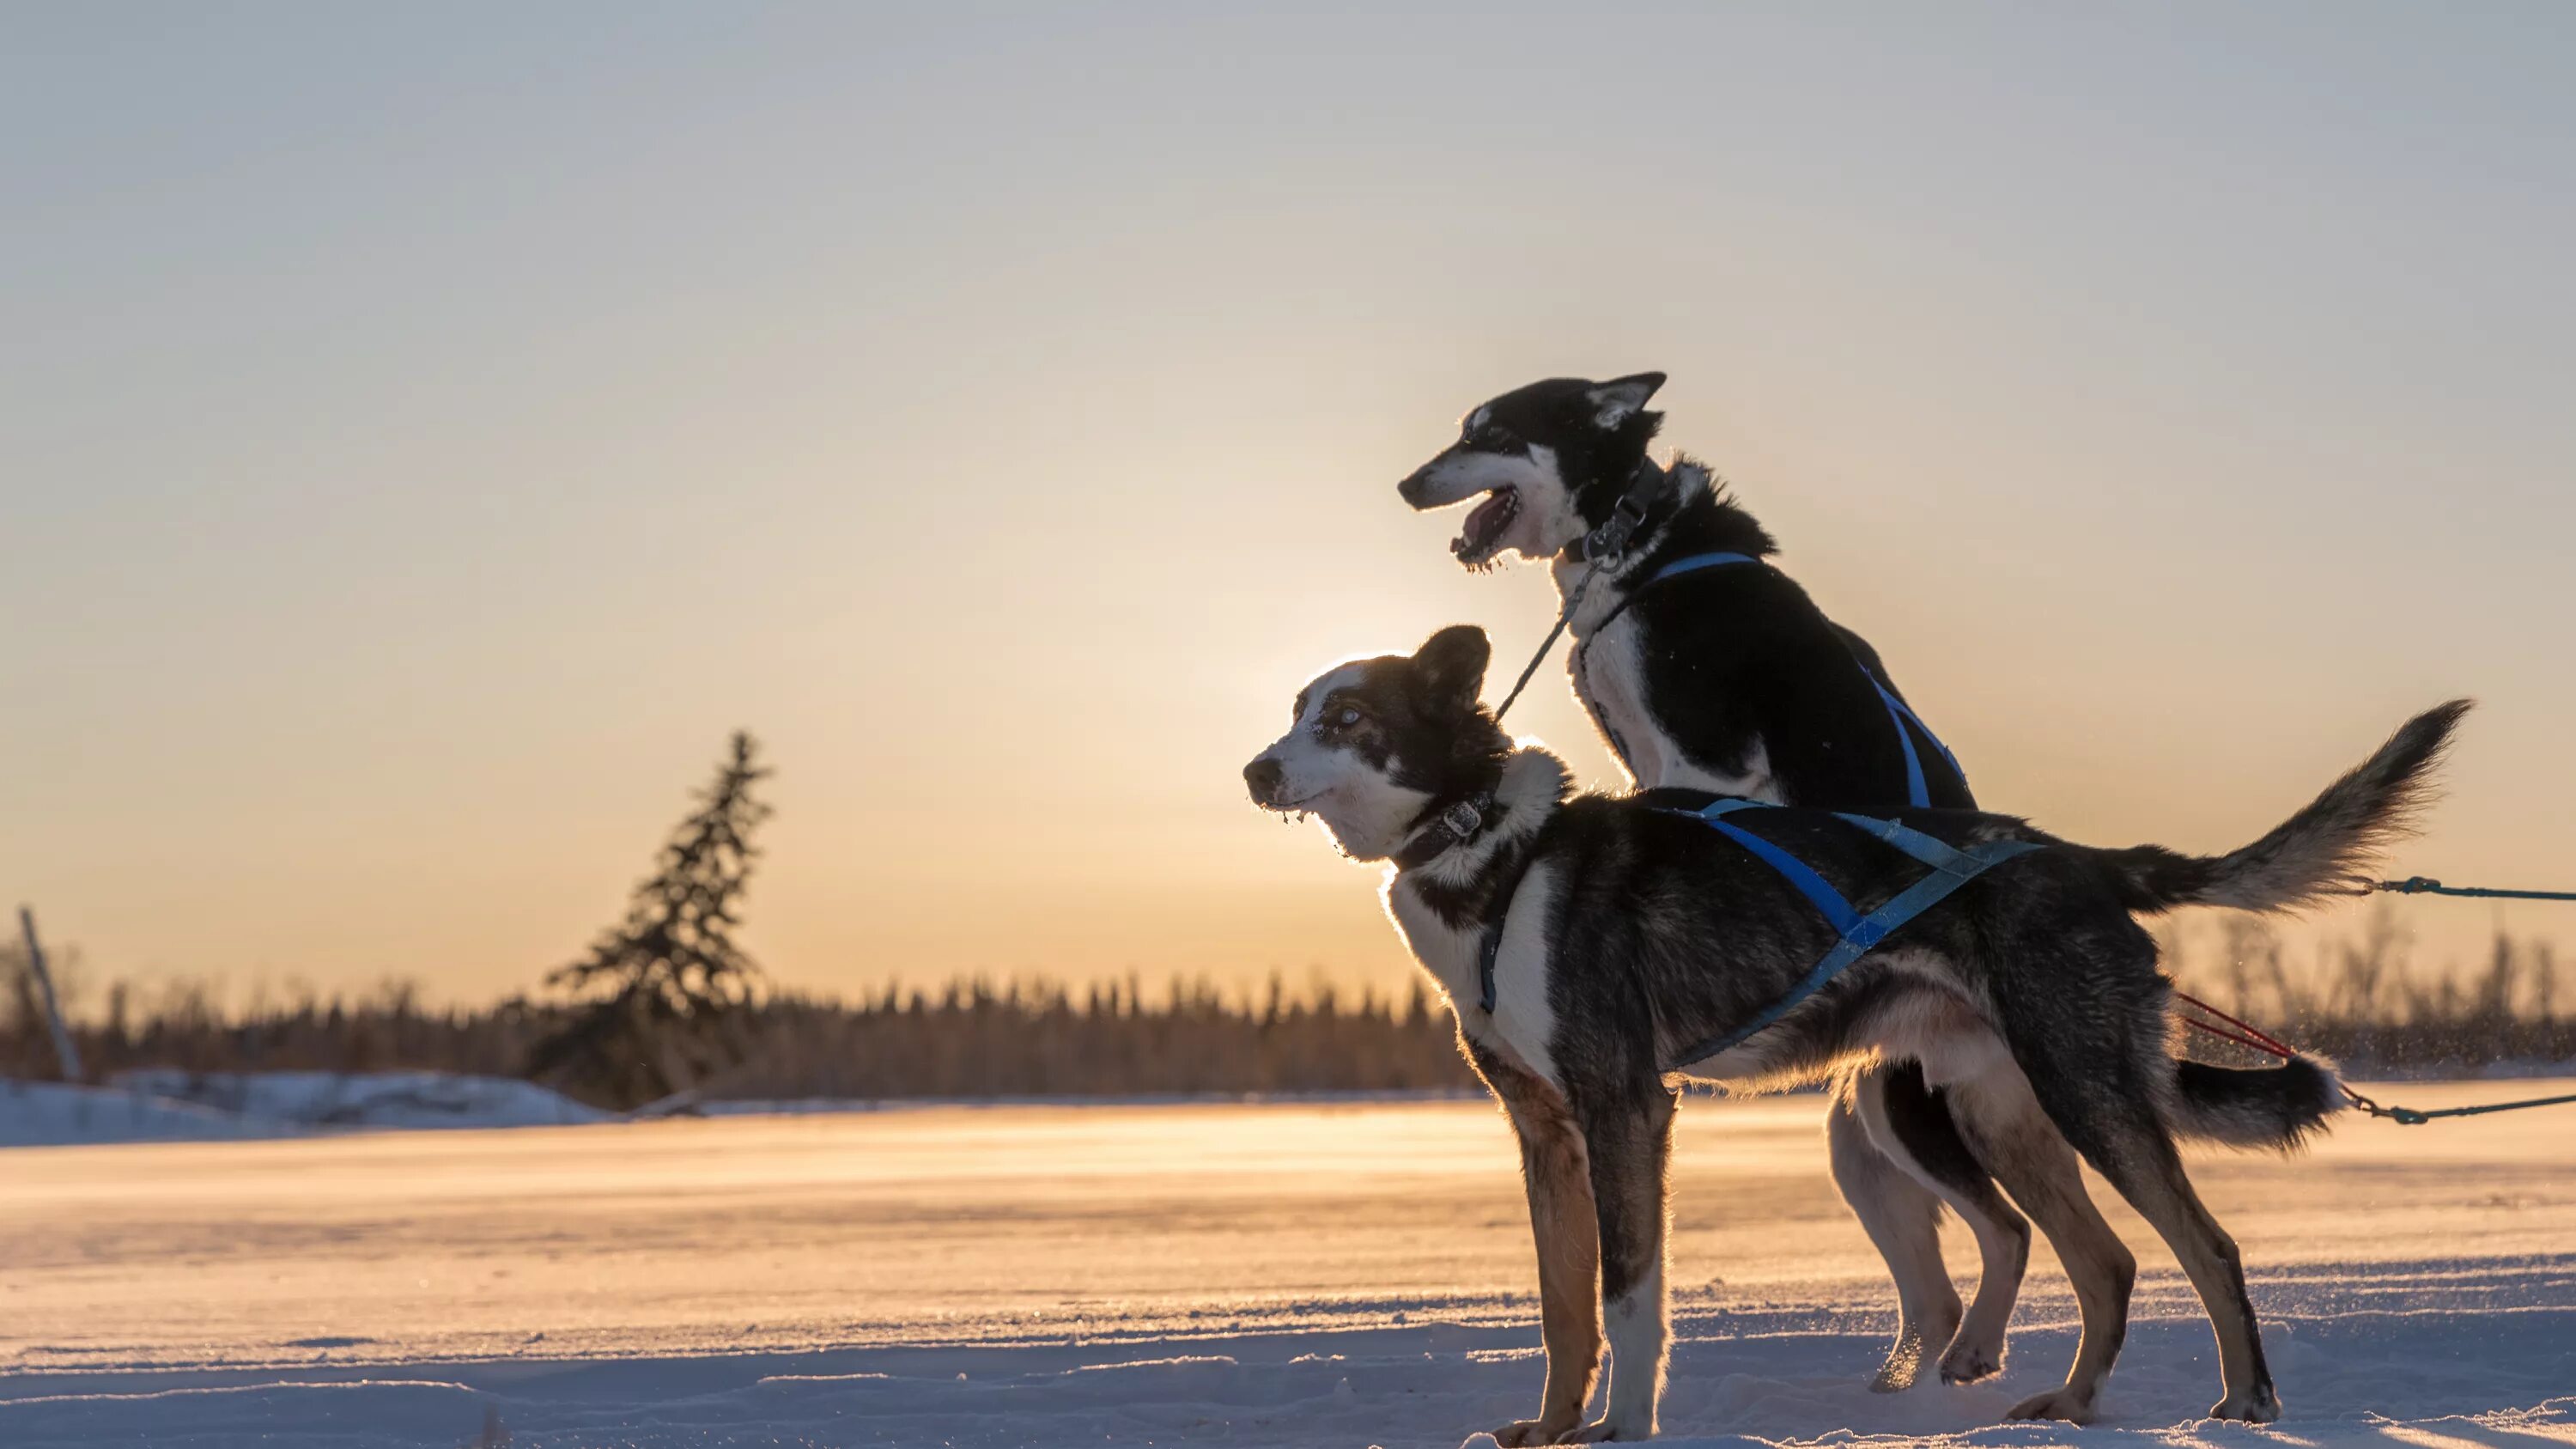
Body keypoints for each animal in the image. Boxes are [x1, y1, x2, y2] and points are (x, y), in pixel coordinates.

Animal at [1247, 618, 2473, 1433]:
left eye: (1347, 718)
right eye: (1297, 707)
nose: (1257, 766)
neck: (1493, 855)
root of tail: (2078, 856)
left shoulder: (1624, 1109)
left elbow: (1629, 1298)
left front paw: (1622, 1431)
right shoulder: (1544, 1135)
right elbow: (1563, 1311)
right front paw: (1551, 1431)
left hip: (2082, 1092)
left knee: (2203, 1245)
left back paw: (2245, 1400)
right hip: (1997, 1115)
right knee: (2108, 1260)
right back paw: (2070, 1404)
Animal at [1401, 368, 2040, 1391]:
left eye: (1489, 432)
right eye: (1463, 428)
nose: (1407, 483)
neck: (1634, 540)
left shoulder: (1703, 760)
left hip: (1906, 1113)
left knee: (2003, 1238)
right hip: (1860, 1141)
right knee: (1940, 1285)